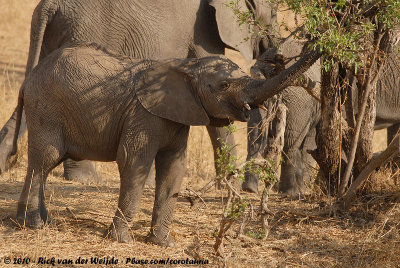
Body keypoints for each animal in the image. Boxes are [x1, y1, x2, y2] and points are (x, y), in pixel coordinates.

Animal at [0, 0, 278, 180]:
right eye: (274, 16)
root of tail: (49, 4)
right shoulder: (203, 30)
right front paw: (231, 181)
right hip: (82, 32)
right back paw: (86, 179)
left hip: (51, 37)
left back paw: (3, 165)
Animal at [15, 42, 320, 247]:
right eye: (223, 85)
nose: (278, 57)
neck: (185, 67)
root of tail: (27, 80)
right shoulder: (143, 115)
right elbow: (133, 162)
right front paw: (122, 241)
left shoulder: (178, 116)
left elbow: (174, 168)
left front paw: (163, 244)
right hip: (46, 109)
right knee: (44, 161)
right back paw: (35, 225)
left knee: (38, 164)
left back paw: (27, 222)